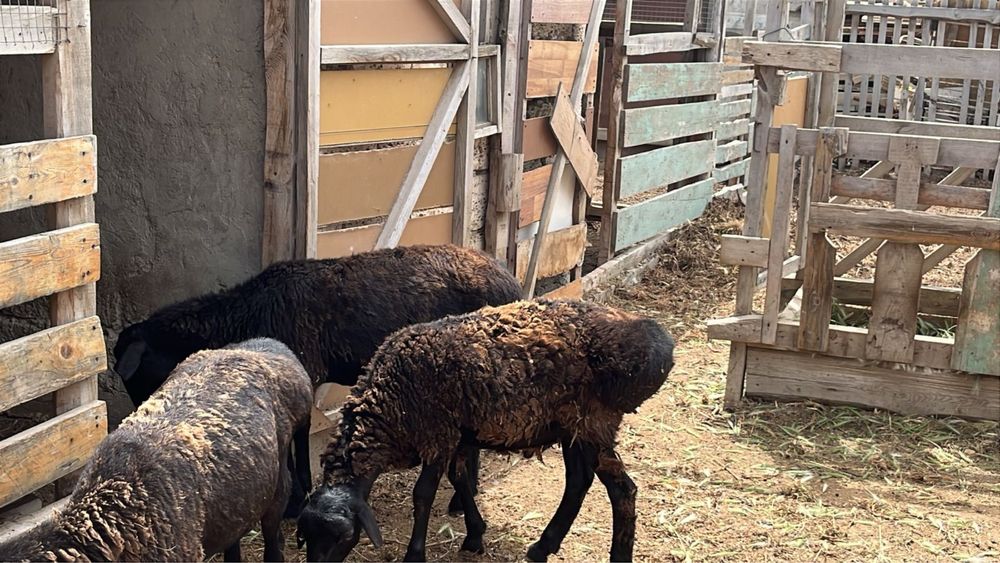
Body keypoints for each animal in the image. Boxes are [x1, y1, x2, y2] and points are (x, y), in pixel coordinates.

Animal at [113, 244, 522, 517]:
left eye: (136, 371)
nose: (139, 416)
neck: (244, 314)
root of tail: (510, 281)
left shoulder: (302, 368)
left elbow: (299, 435)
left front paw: (297, 500)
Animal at [296, 299, 675, 563]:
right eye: (305, 537)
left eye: (344, 537)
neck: (389, 401)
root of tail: (660, 345)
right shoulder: (460, 435)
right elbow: (461, 479)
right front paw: (474, 536)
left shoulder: (438, 434)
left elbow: (423, 494)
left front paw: (415, 554)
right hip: (574, 427)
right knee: (579, 481)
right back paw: (543, 546)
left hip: (596, 422)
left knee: (623, 491)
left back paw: (613, 554)